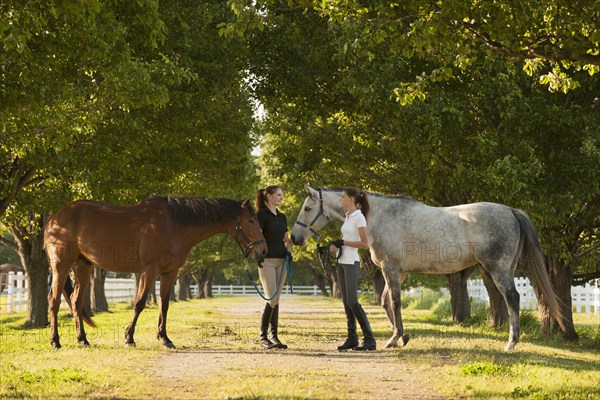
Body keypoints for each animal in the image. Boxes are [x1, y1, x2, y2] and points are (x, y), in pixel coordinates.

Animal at [44, 195, 264, 348]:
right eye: (251, 221)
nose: (263, 250)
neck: (173, 224)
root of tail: (54, 219)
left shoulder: (170, 273)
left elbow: (164, 305)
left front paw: (165, 338)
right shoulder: (149, 270)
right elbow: (140, 303)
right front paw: (129, 338)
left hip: (83, 266)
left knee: (76, 301)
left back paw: (83, 340)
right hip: (61, 266)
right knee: (54, 300)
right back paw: (55, 341)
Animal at [292, 186, 568, 352]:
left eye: (307, 208)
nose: (294, 238)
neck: (378, 216)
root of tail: (511, 210)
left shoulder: (391, 270)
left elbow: (395, 302)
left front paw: (394, 338)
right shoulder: (400, 272)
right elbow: (386, 301)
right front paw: (402, 336)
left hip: (497, 269)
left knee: (512, 298)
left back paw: (511, 344)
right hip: (506, 268)